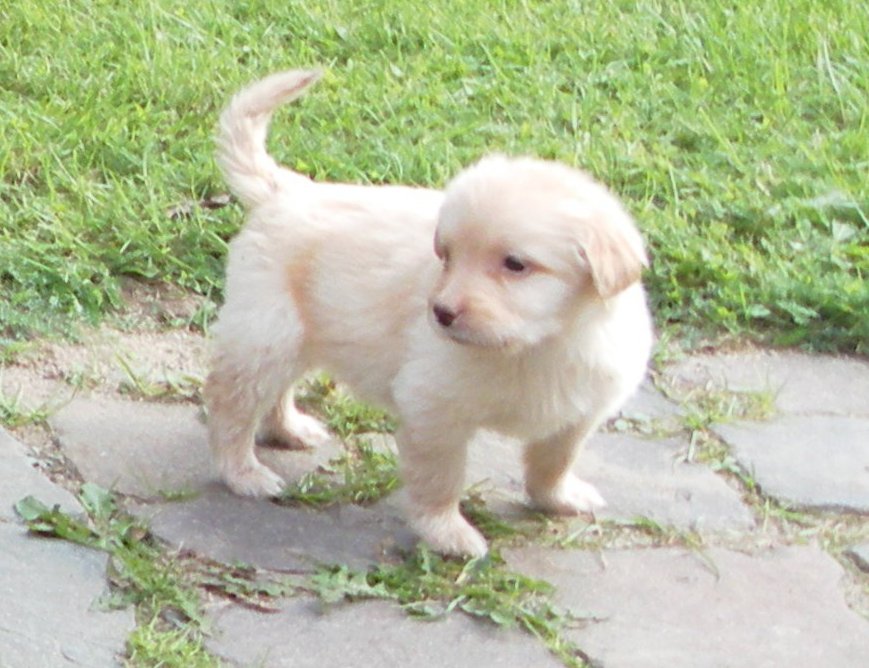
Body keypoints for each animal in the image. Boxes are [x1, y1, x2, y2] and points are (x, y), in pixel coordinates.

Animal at [205, 69, 653, 557]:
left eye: (515, 264)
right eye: (448, 256)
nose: (440, 313)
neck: (536, 346)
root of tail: (288, 188)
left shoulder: (578, 412)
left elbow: (554, 461)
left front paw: (559, 498)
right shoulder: (434, 410)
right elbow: (441, 478)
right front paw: (447, 532)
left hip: (295, 332)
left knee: (276, 390)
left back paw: (288, 428)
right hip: (267, 333)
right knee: (231, 405)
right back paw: (243, 472)